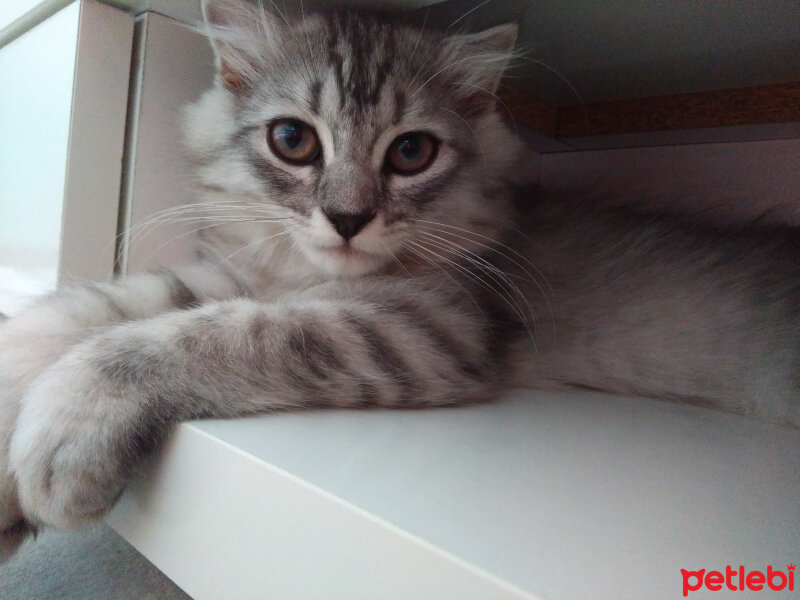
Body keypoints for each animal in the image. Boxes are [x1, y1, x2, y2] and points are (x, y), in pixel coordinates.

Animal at [1, 0, 800, 560]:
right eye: (292, 140)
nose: (348, 217)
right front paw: (16, 381)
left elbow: (192, 337)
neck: (300, 274)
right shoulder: (234, 276)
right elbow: (108, 303)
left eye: (411, 152)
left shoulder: (428, 322)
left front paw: (64, 427)